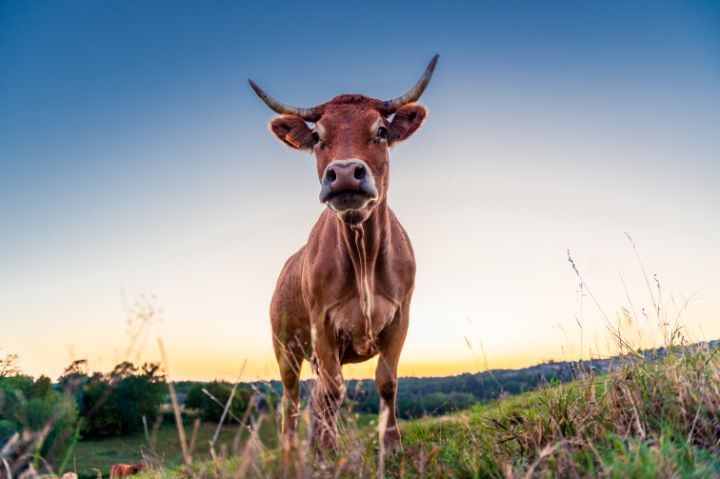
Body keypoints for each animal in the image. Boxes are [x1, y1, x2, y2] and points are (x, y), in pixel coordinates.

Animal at [249, 55, 439, 454]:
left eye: (381, 130)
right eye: (317, 137)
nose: (346, 173)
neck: (363, 255)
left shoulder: (400, 317)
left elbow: (386, 381)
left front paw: (392, 445)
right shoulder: (322, 323)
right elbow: (333, 390)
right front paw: (329, 451)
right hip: (284, 346)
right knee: (293, 398)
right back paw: (293, 449)